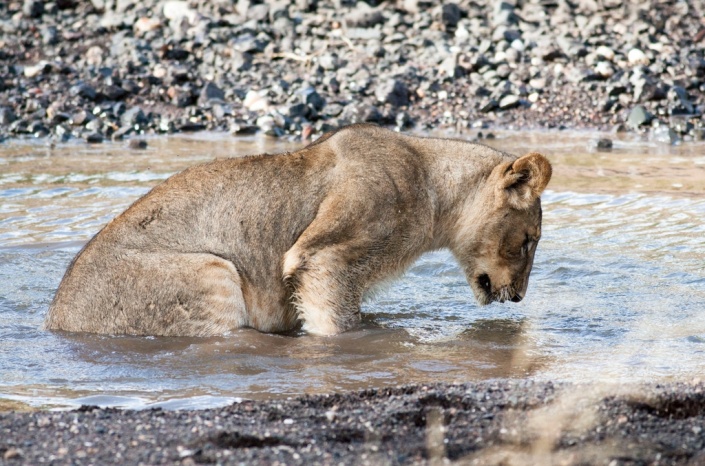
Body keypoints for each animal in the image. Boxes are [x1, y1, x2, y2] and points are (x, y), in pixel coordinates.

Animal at [44, 124, 552, 337]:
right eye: (527, 242)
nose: (520, 298)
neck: (433, 186)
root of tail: (54, 318)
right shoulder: (324, 254)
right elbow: (337, 324)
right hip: (212, 270)